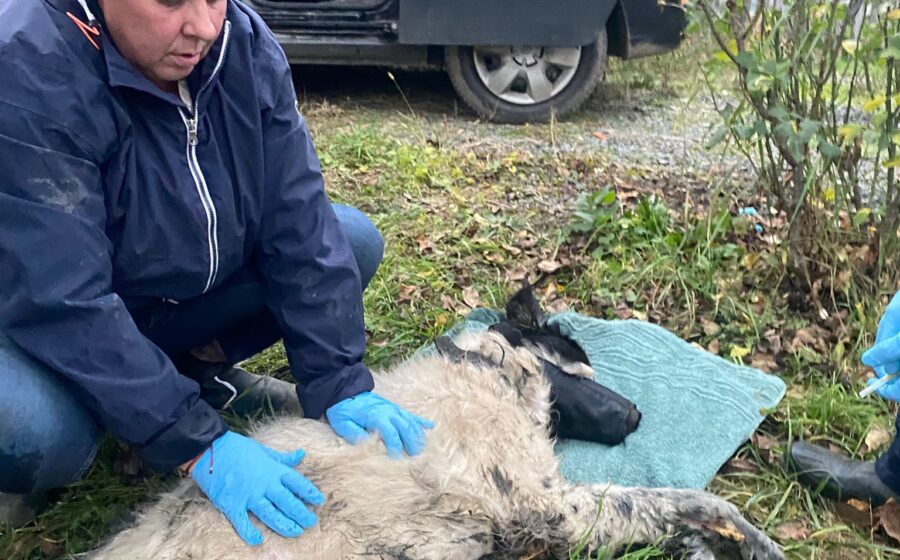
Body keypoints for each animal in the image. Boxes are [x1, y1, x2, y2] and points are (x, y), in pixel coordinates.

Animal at [90, 323, 782, 559]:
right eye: (580, 369)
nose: (635, 413)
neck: (483, 372)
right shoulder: (547, 507)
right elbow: (679, 501)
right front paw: (753, 541)